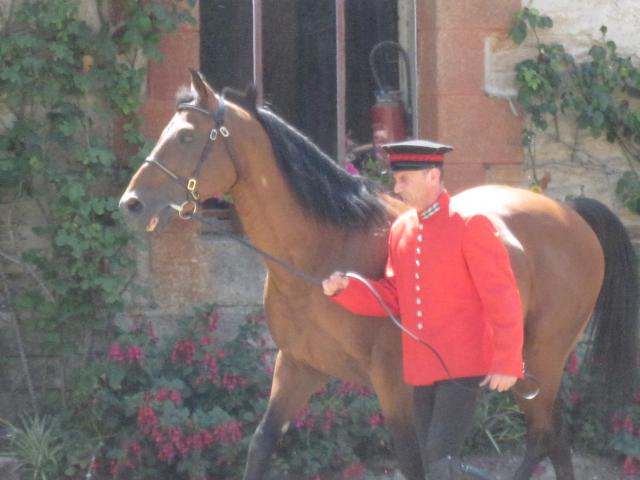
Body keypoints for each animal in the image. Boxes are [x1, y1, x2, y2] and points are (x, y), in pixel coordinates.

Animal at [119, 71, 636, 480]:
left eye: (187, 138)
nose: (132, 204)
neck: (321, 253)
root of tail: (571, 215)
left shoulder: (395, 387)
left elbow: (414, 462)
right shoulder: (297, 366)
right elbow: (261, 444)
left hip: (537, 363)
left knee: (542, 437)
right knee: (554, 437)